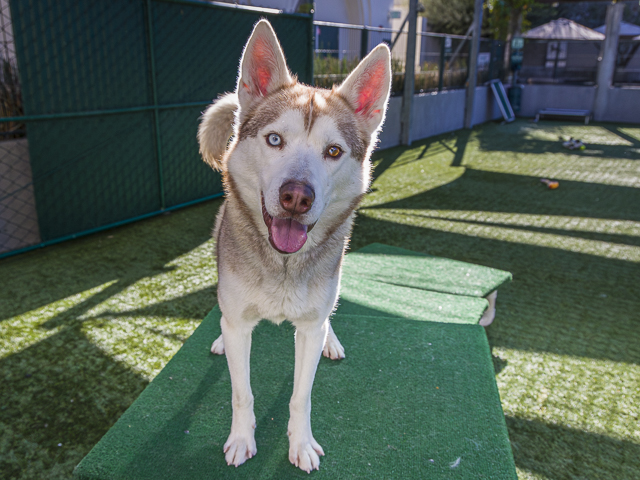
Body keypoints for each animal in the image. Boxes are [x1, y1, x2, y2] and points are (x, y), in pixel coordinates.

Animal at [198, 19, 392, 472]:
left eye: (333, 151)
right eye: (274, 140)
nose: (296, 197)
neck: (283, 266)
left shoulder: (307, 328)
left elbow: (301, 396)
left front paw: (300, 444)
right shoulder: (240, 324)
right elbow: (241, 392)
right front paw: (241, 439)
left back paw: (330, 341)